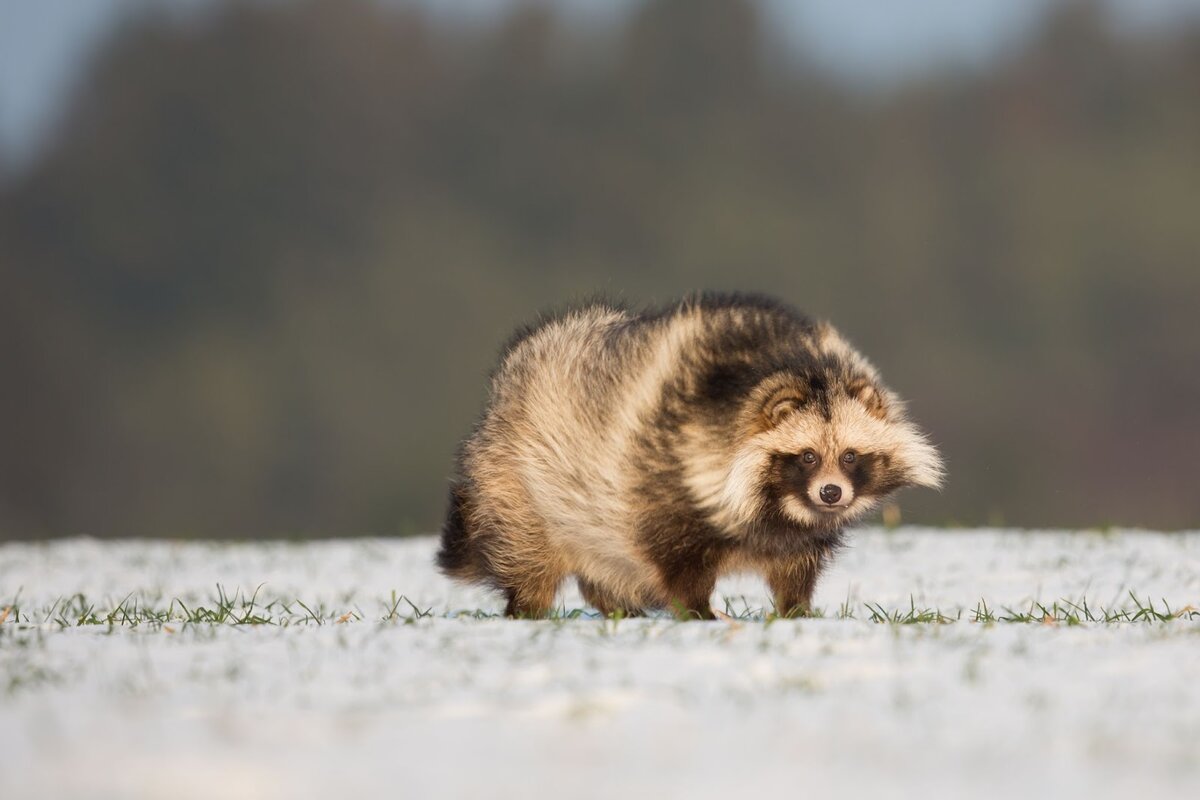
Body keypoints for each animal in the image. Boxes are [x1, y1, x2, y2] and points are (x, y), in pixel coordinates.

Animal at [436, 293, 940, 618]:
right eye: (808, 457)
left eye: (851, 455)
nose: (831, 493)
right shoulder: (657, 475)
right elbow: (676, 562)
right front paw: (698, 612)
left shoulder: (797, 532)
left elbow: (795, 566)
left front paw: (795, 610)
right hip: (520, 486)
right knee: (530, 555)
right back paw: (530, 608)